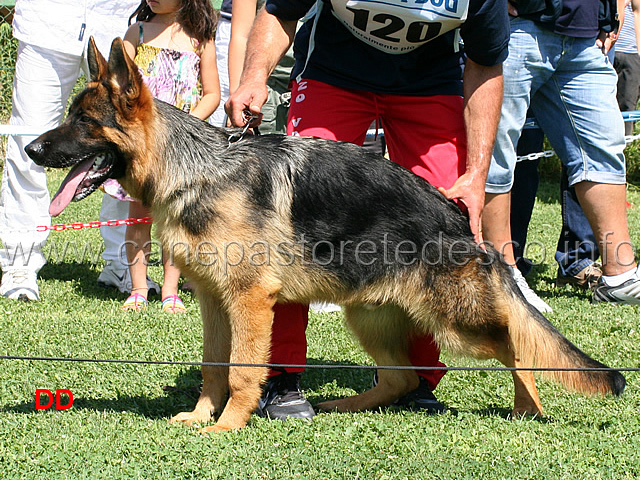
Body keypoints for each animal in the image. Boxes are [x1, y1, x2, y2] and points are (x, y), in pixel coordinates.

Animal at [26, 39, 624, 434]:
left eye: (84, 123)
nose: (31, 149)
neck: (196, 170)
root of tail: (458, 219)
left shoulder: (248, 302)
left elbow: (240, 372)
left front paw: (228, 427)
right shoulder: (215, 304)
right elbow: (213, 369)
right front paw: (199, 417)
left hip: (458, 323)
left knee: (515, 346)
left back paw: (529, 409)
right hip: (370, 315)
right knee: (401, 378)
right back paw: (344, 406)